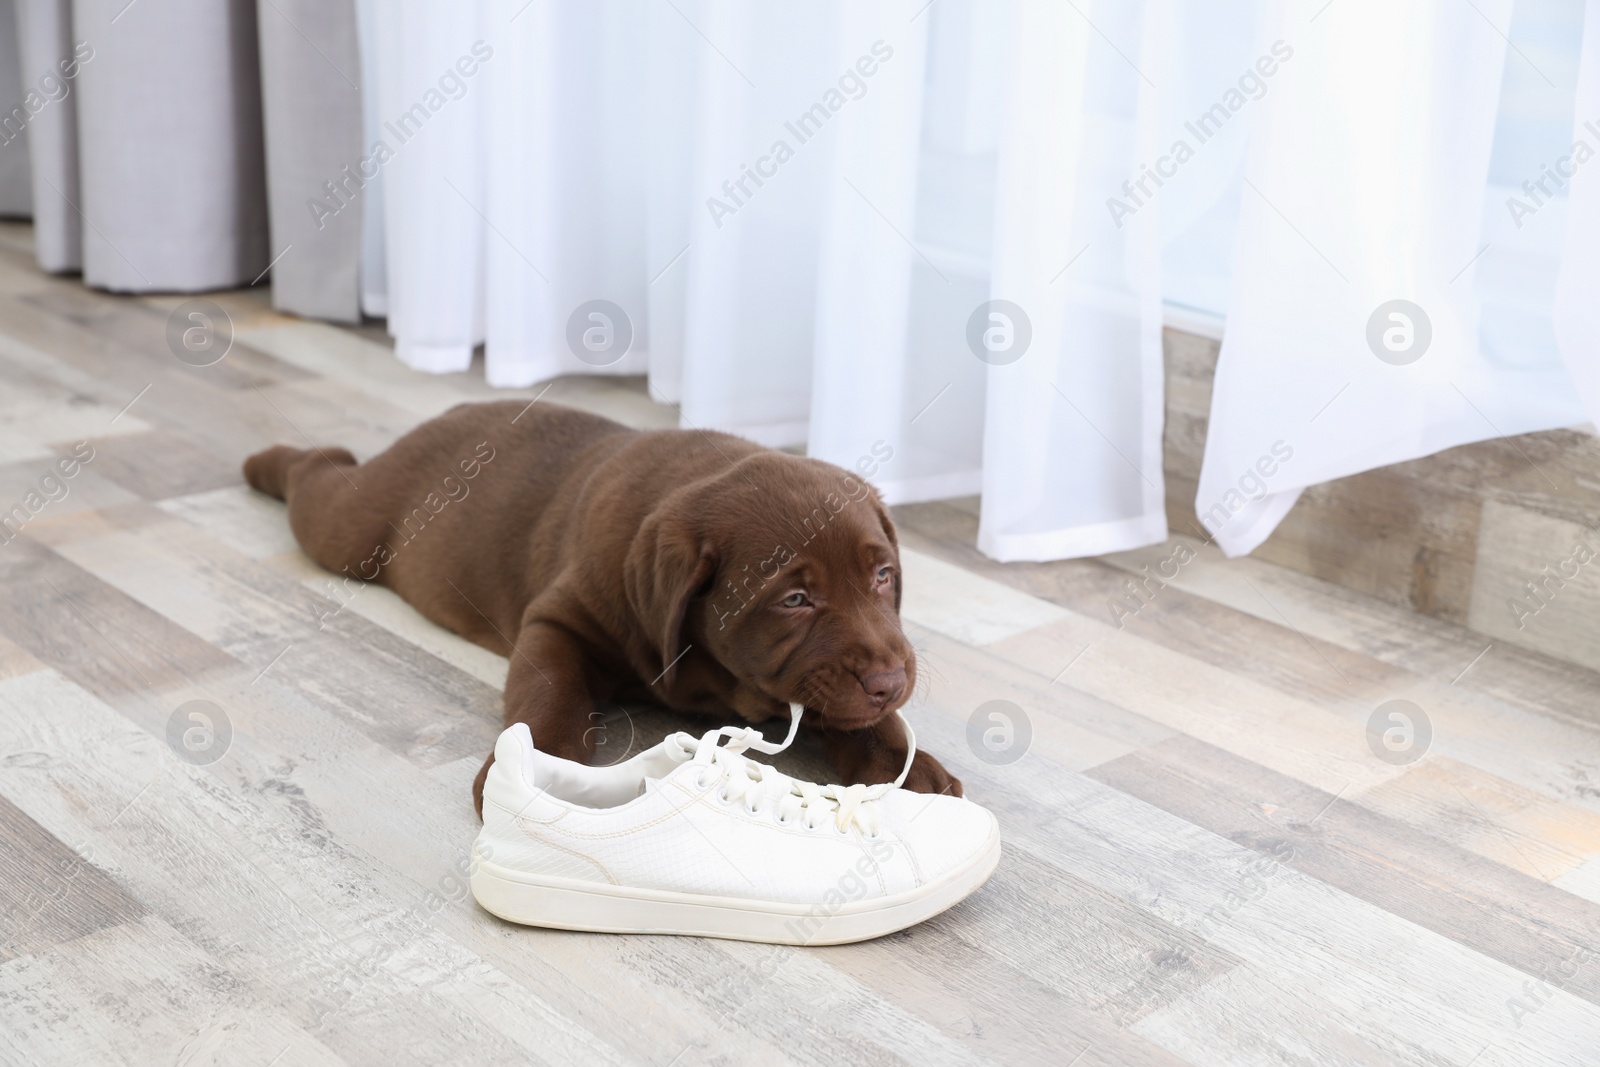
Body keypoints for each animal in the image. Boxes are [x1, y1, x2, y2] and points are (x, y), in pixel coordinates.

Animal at [243, 403, 953, 819]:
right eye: (795, 600)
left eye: (883, 576)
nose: (891, 679)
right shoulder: (559, 621)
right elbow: (552, 694)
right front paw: (530, 770)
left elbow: (867, 720)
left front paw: (911, 771)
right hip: (354, 530)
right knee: (319, 478)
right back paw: (263, 462)